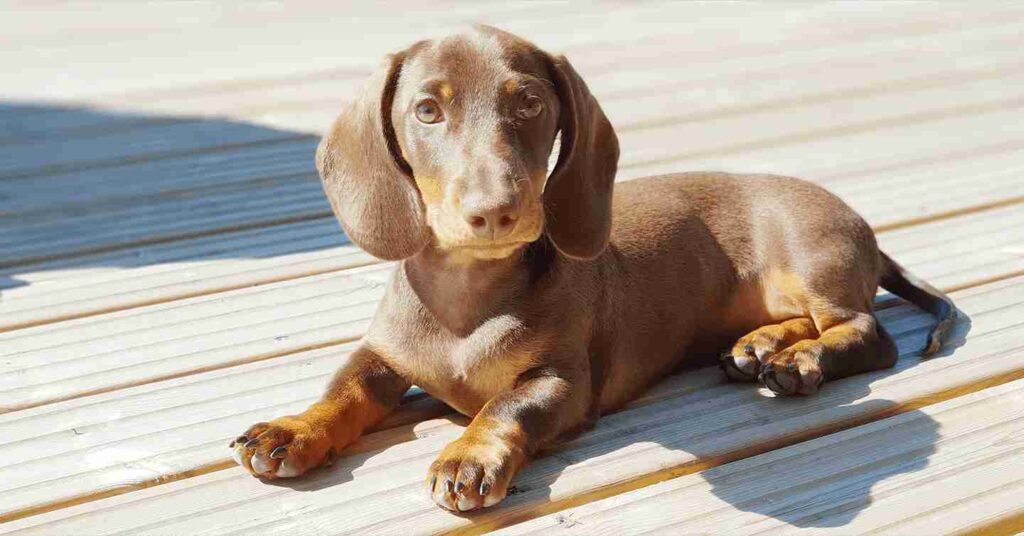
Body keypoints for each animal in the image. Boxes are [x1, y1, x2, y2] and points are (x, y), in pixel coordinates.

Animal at [228, 27, 954, 514]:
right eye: (427, 110)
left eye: (529, 104)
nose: (497, 211)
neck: (466, 300)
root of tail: (861, 226)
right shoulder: (381, 354)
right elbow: (343, 390)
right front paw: (294, 429)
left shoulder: (566, 380)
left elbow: (507, 404)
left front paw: (468, 454)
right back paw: (761, 346)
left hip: (811, 257)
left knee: (867, 332)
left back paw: (800, 362)